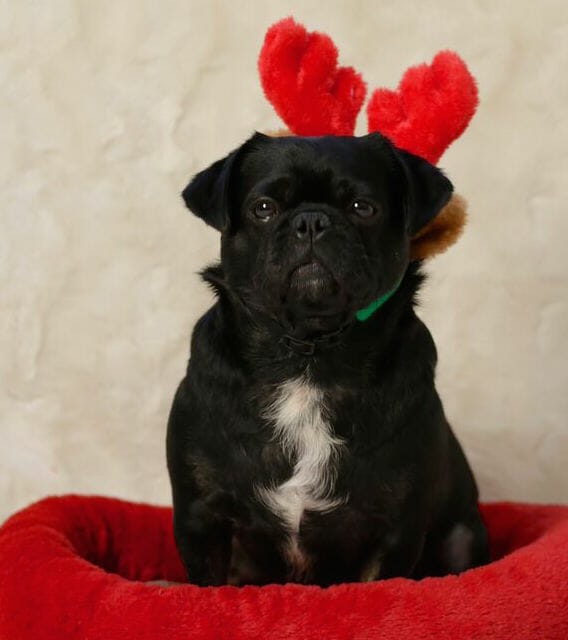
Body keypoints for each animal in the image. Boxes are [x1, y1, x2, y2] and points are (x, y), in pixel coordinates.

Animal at [166, 132, 490, 588]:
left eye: (362, 207)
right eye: (263, 208)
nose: (312, 221)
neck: (309, 357)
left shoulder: (394, 528)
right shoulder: (201, 518)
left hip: (463, 535)